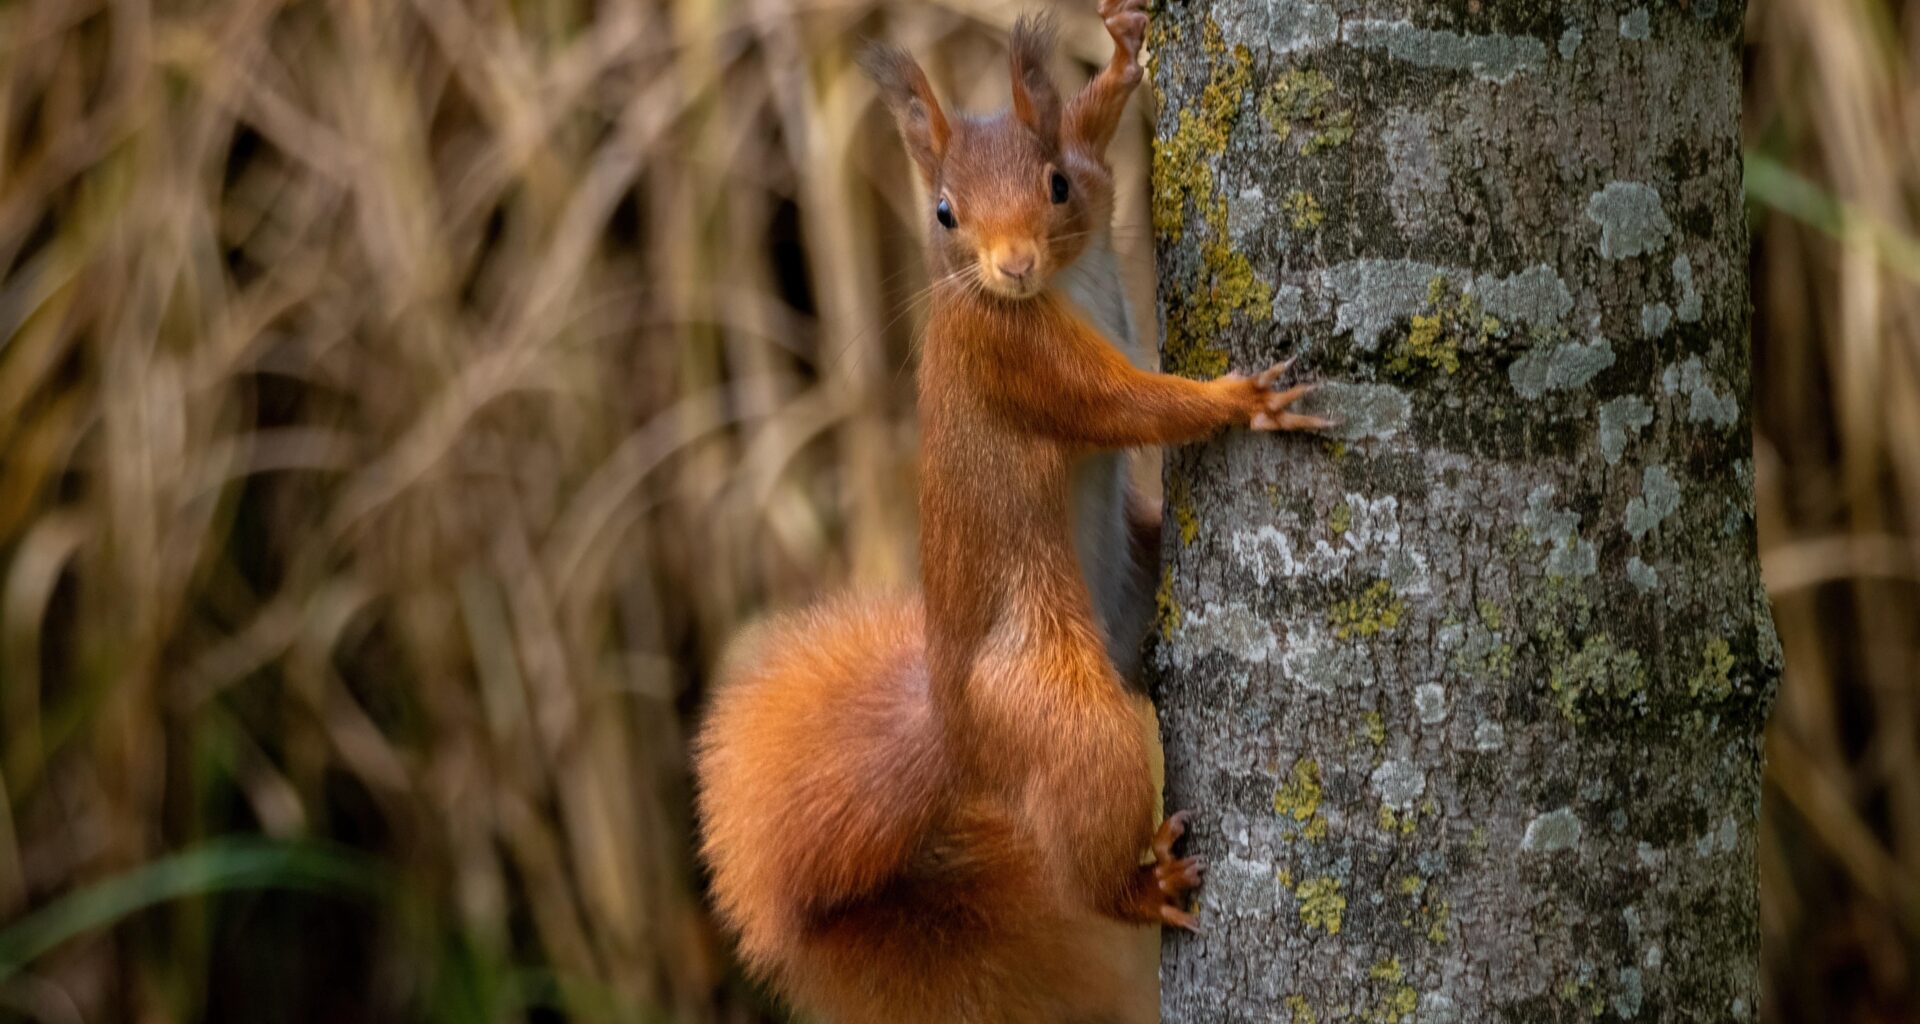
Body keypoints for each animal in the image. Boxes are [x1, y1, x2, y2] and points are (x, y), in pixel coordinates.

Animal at [694, 4, 1326, 1021]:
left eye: (1055, 184)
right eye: (944, 213)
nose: (1015, 265)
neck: (1050, 285)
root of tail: (959, 739)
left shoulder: (1094, 177)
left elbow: (1095, 122)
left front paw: (1121, 49)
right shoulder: (1018, 364)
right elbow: (1127, 407)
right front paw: (1238, 401)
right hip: (1053, 704)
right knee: (1086, 834)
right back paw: (1141, 888)